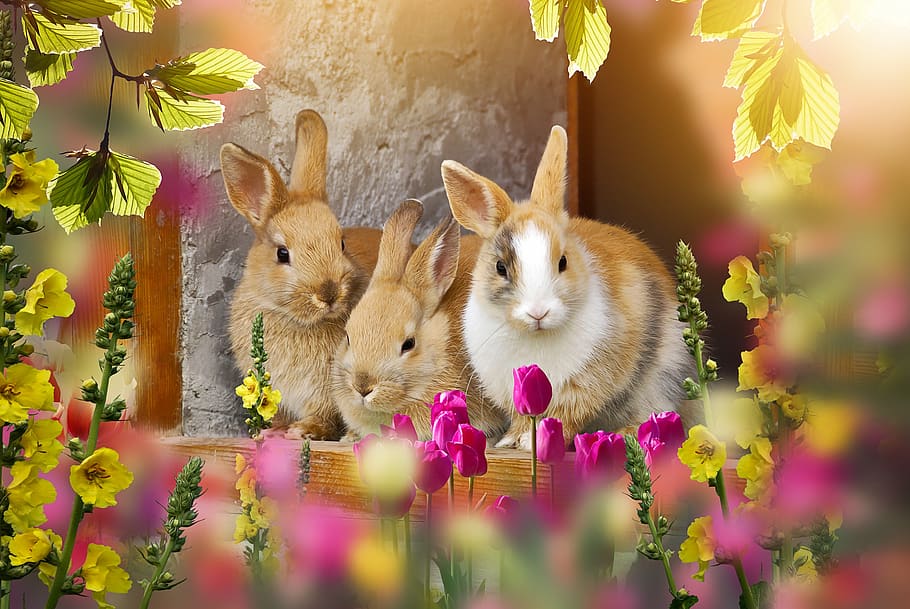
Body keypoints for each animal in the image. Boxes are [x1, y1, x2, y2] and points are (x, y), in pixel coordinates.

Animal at [222, 109, 382, 440]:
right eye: (282, 254)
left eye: (341, 243)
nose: (328, 293)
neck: (295, 320)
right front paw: (270, 433)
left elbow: (323, 414)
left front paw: (304, 430)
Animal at [440, 125, 691, 449]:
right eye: (500, 267)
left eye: (563, 262)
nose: (538, 312)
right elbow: (522, 418)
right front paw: (511, 441)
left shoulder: (585, 385)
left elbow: (566, 415)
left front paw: (533, 443)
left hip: (662, 380)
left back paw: (628, 433)